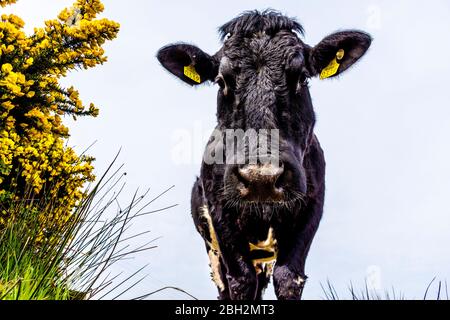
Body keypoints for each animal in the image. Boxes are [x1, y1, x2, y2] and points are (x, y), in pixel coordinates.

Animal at [156, 10, 370, 300]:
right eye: (222, 81)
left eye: (302, 77)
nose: (261, 178)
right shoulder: (220, 213)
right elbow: (240, 280)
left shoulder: (311, 207)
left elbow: (289, 277)